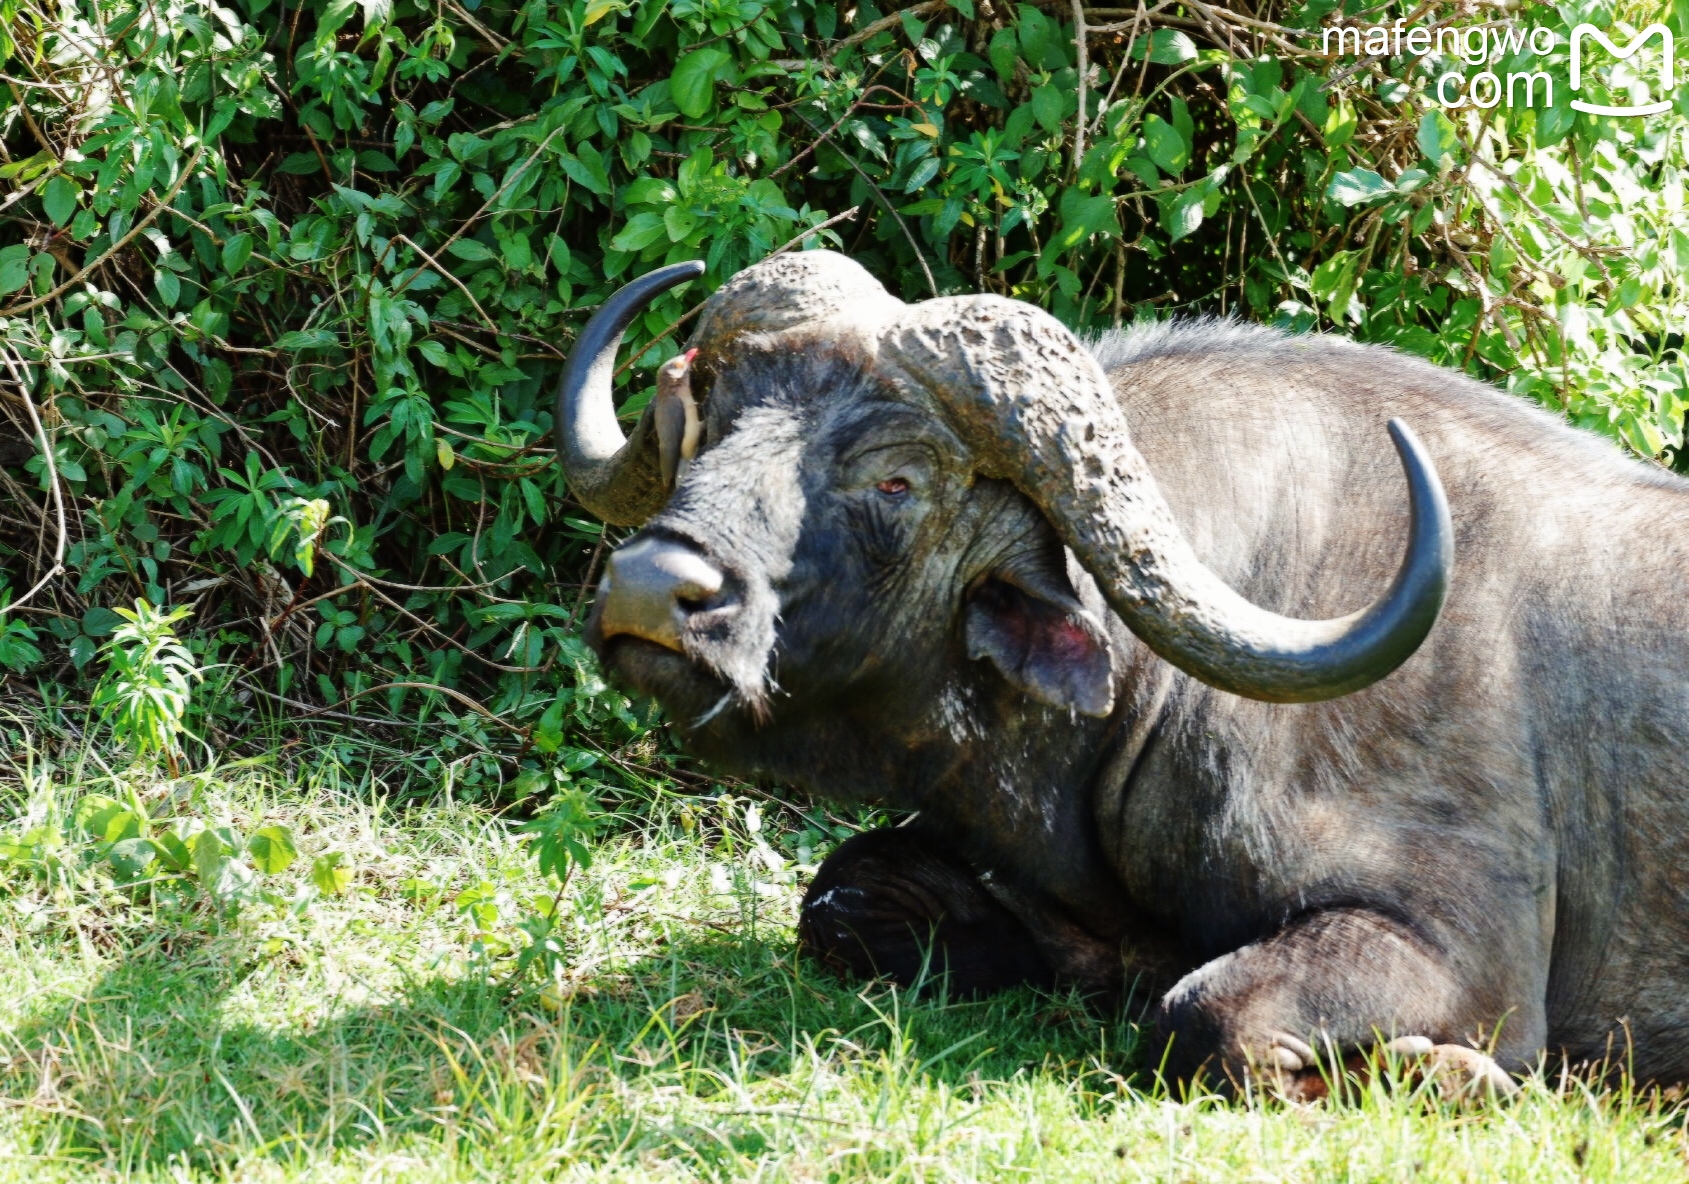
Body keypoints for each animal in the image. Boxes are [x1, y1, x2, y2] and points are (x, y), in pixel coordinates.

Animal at [550, 251, 1675, 1087]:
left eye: (896, 479)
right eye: (715, 418)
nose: (652, 585)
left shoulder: (1467, 952)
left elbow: (1206, 1013)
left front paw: (1444, 1075)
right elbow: (838, 896)